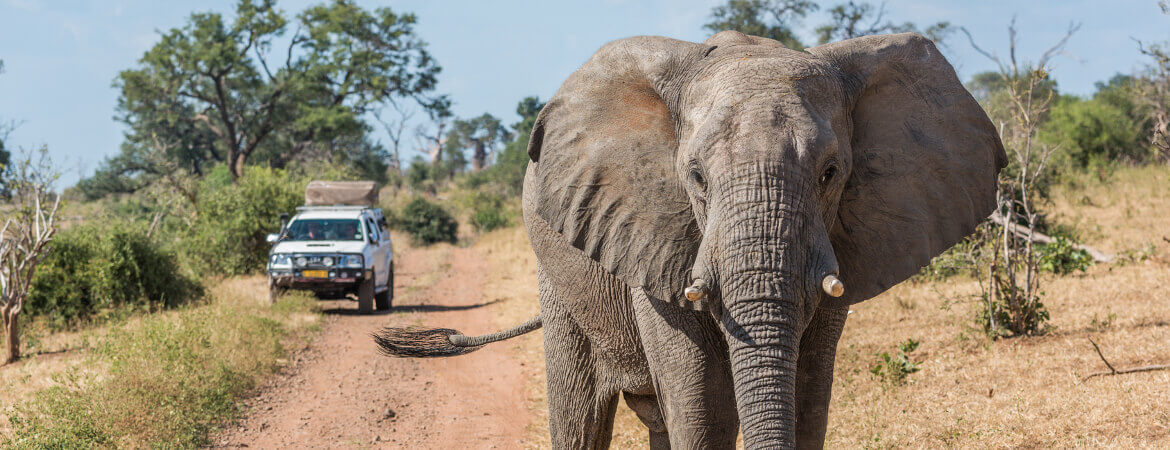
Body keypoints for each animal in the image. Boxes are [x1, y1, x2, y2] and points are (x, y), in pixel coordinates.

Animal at [374, 29, 1006, 446]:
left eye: (831, 173)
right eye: (696, 177)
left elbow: (808, 401)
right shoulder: (652, 235)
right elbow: (703, 408)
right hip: (556, 271)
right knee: (582, 415)